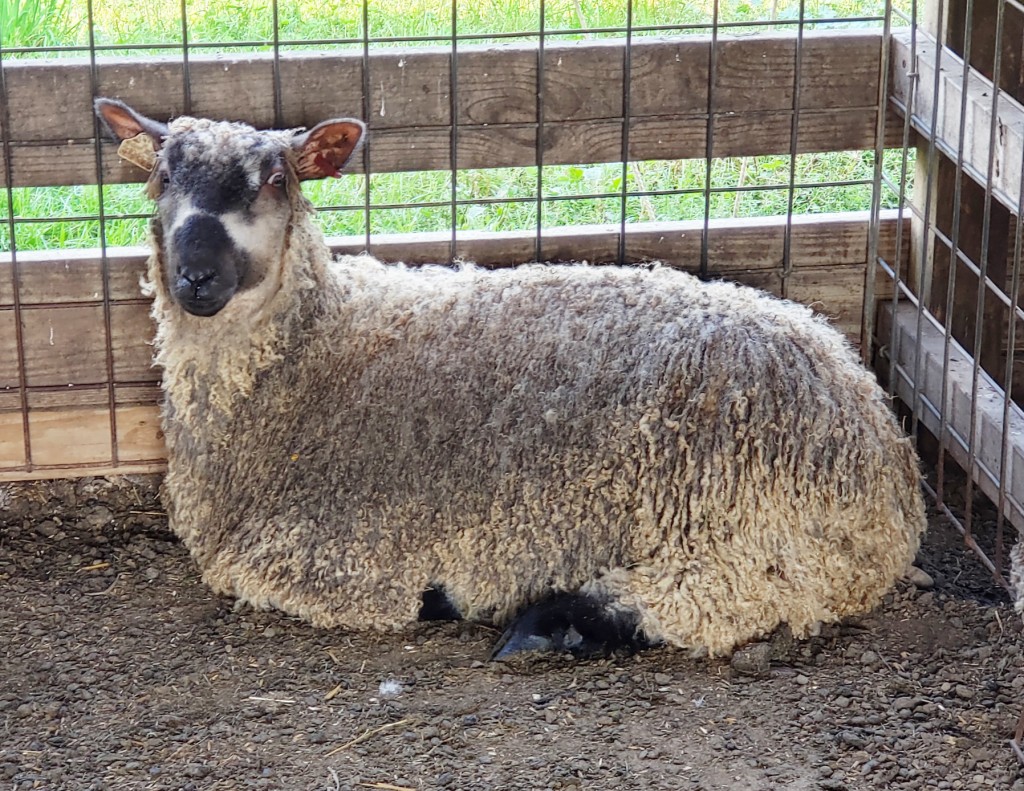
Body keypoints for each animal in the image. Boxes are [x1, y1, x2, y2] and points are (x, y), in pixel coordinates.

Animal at [94, 98, 927, 660]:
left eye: (274, 179)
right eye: (161, 176)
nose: (195, 275)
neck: (314, 348)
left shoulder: (324, 552)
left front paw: (444, 594)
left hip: (750, 522)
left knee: (718, 598)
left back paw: (547, 623)